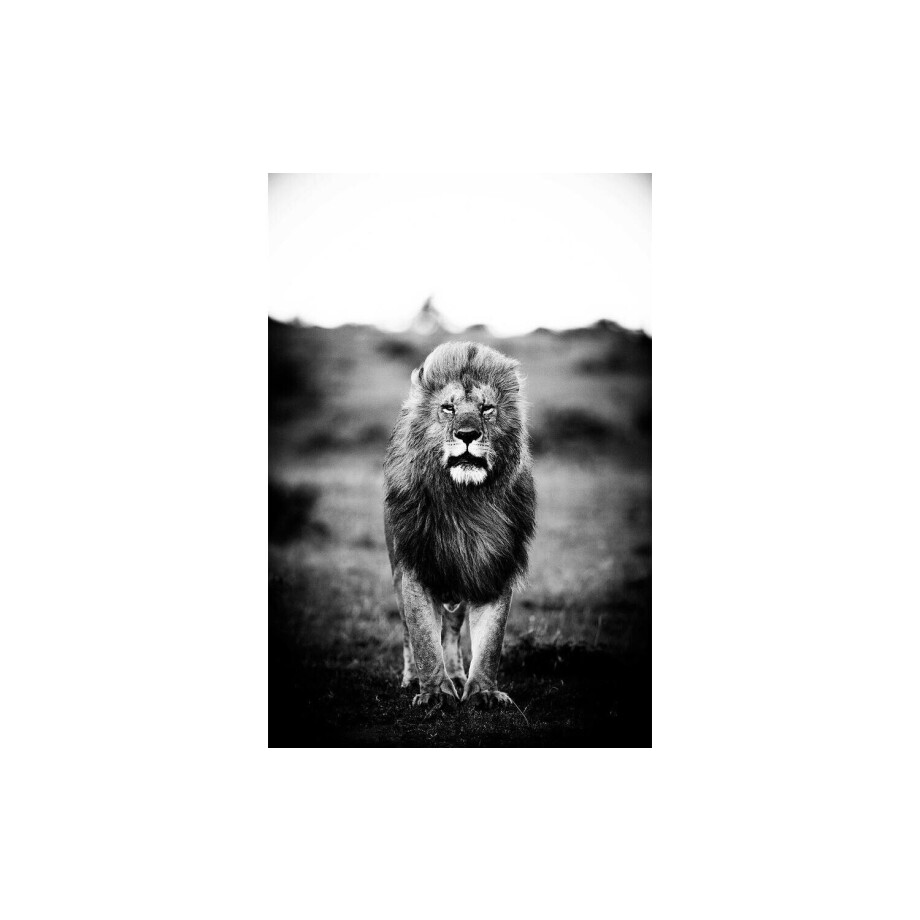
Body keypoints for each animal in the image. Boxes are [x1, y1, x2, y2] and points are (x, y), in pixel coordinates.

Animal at [383, 341, 536, 710]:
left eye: (486, 408)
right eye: (448, 408)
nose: (467, 434)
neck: (465, 501)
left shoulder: (492, 564)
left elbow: (490, 641)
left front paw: (482, 692)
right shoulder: (415, 566)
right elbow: (424, 639)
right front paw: (434, 694)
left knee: (451, 631)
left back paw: (455, 675)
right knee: (409, 631)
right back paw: (412, 679)